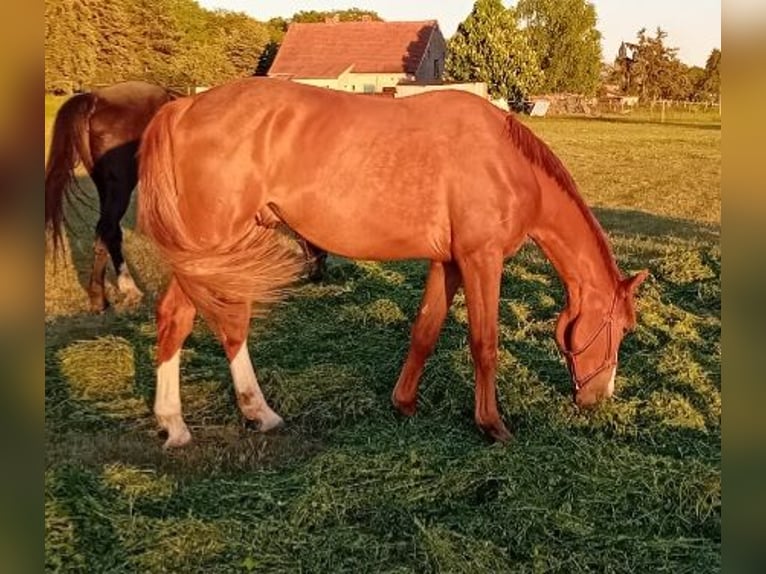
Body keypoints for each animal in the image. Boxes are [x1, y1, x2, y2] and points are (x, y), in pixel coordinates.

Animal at [44, 80, 329, 313]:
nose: (319, 270)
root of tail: (95, 98)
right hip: (120, 186)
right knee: (107, 230)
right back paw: (113, 295)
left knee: (109, 232)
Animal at [137, 77, 648, 447]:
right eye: (622, 328)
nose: (600, 397)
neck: (507, 163)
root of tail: (182, 108)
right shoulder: (481, 260)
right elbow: (484, 343)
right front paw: (492, 425)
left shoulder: (449, 263)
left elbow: (425, 331)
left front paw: (404, 403)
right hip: (213, 247)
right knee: (191, 318)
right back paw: (199, 421)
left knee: (202, 318)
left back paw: (223, 416)